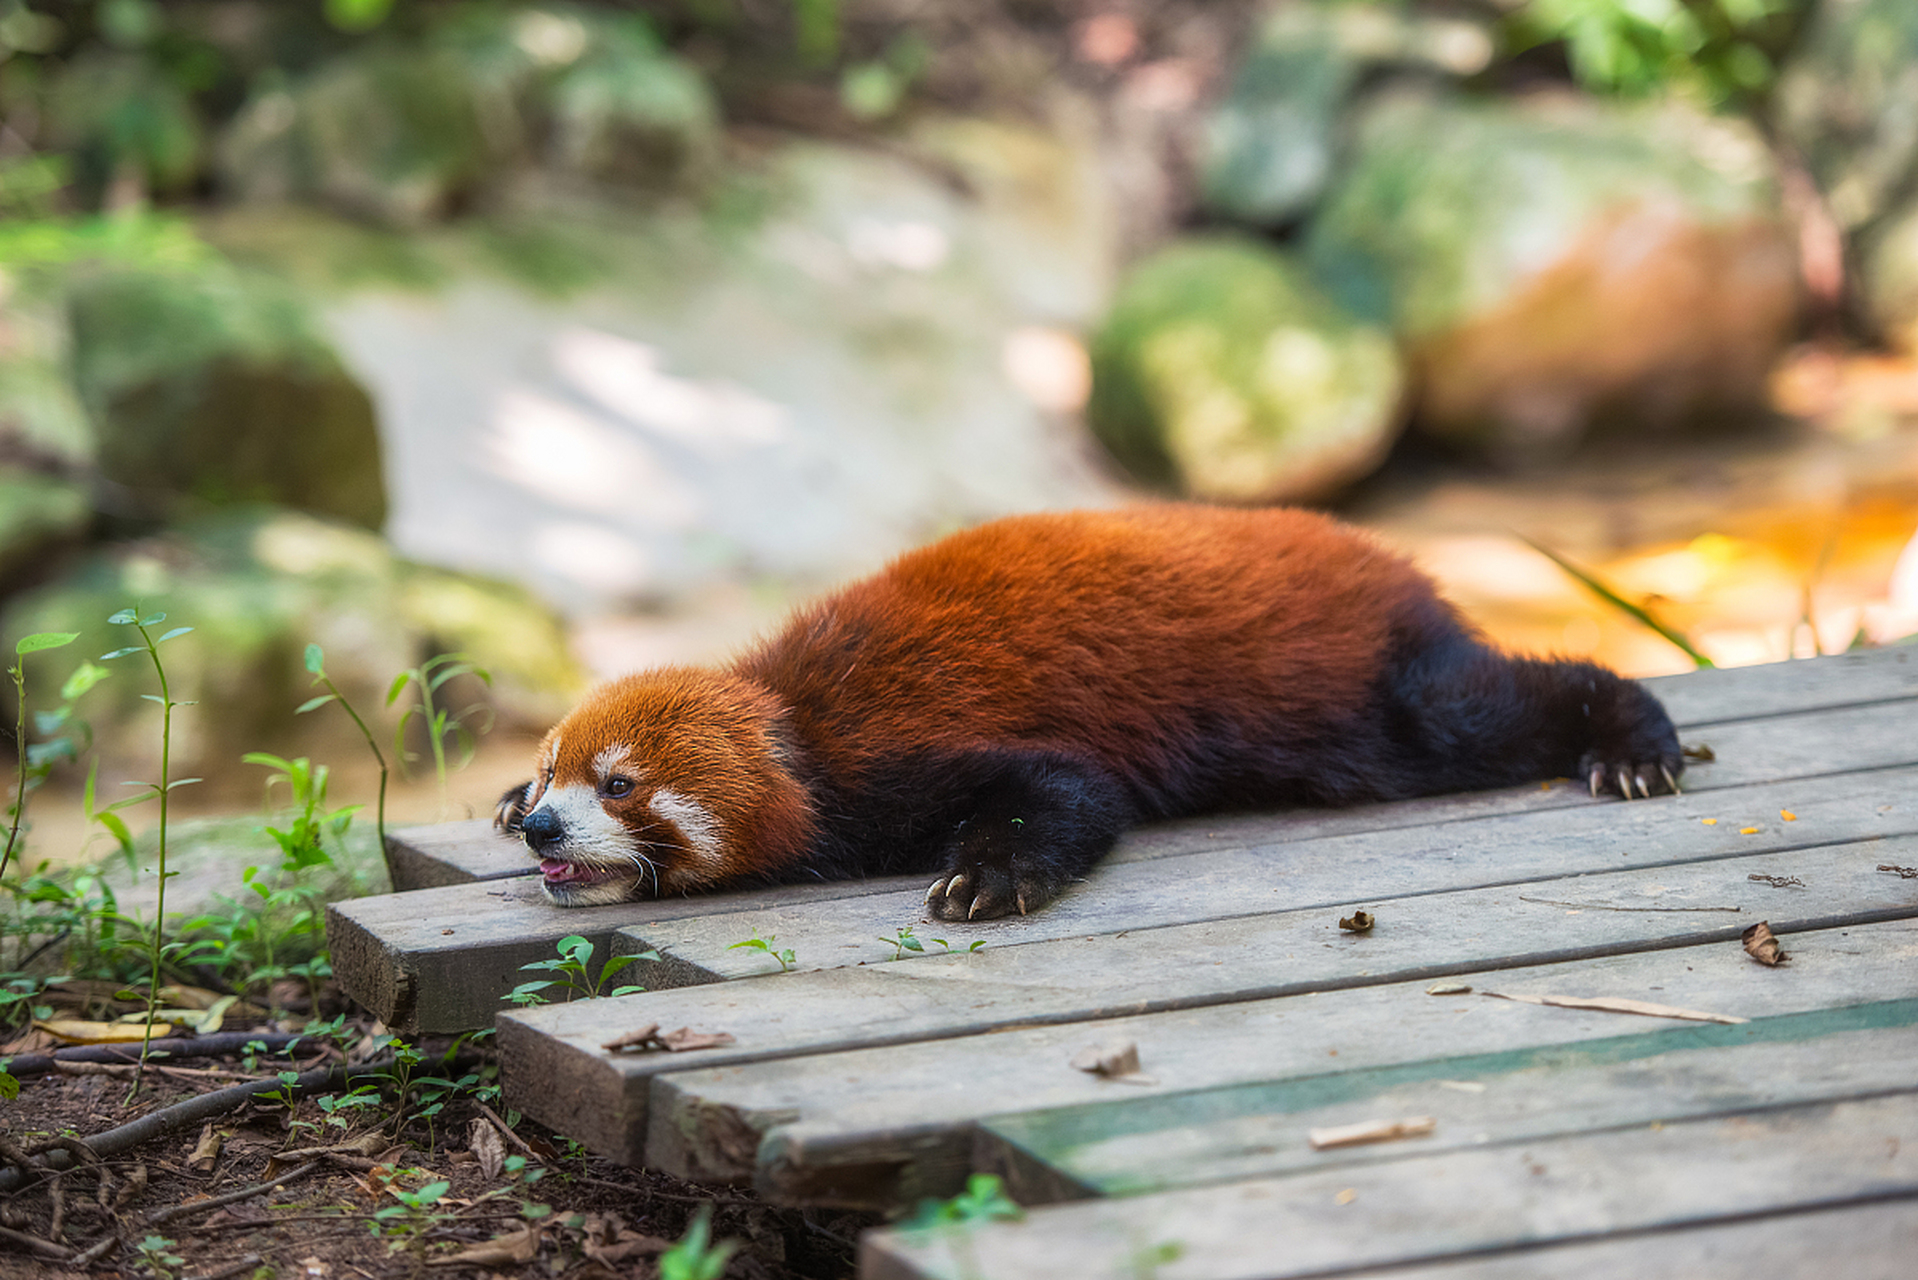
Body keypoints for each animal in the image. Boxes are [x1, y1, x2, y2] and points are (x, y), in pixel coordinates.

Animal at [502, 506, 1687, 921]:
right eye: (553, 768)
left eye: (621, 784)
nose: (542, 822)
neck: (799, 727)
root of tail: (1385, 555)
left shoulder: (896, 753)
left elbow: (1068, 791)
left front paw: (985, 875)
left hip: (1361, 699)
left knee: (1481, 709)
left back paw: (1631, 736)